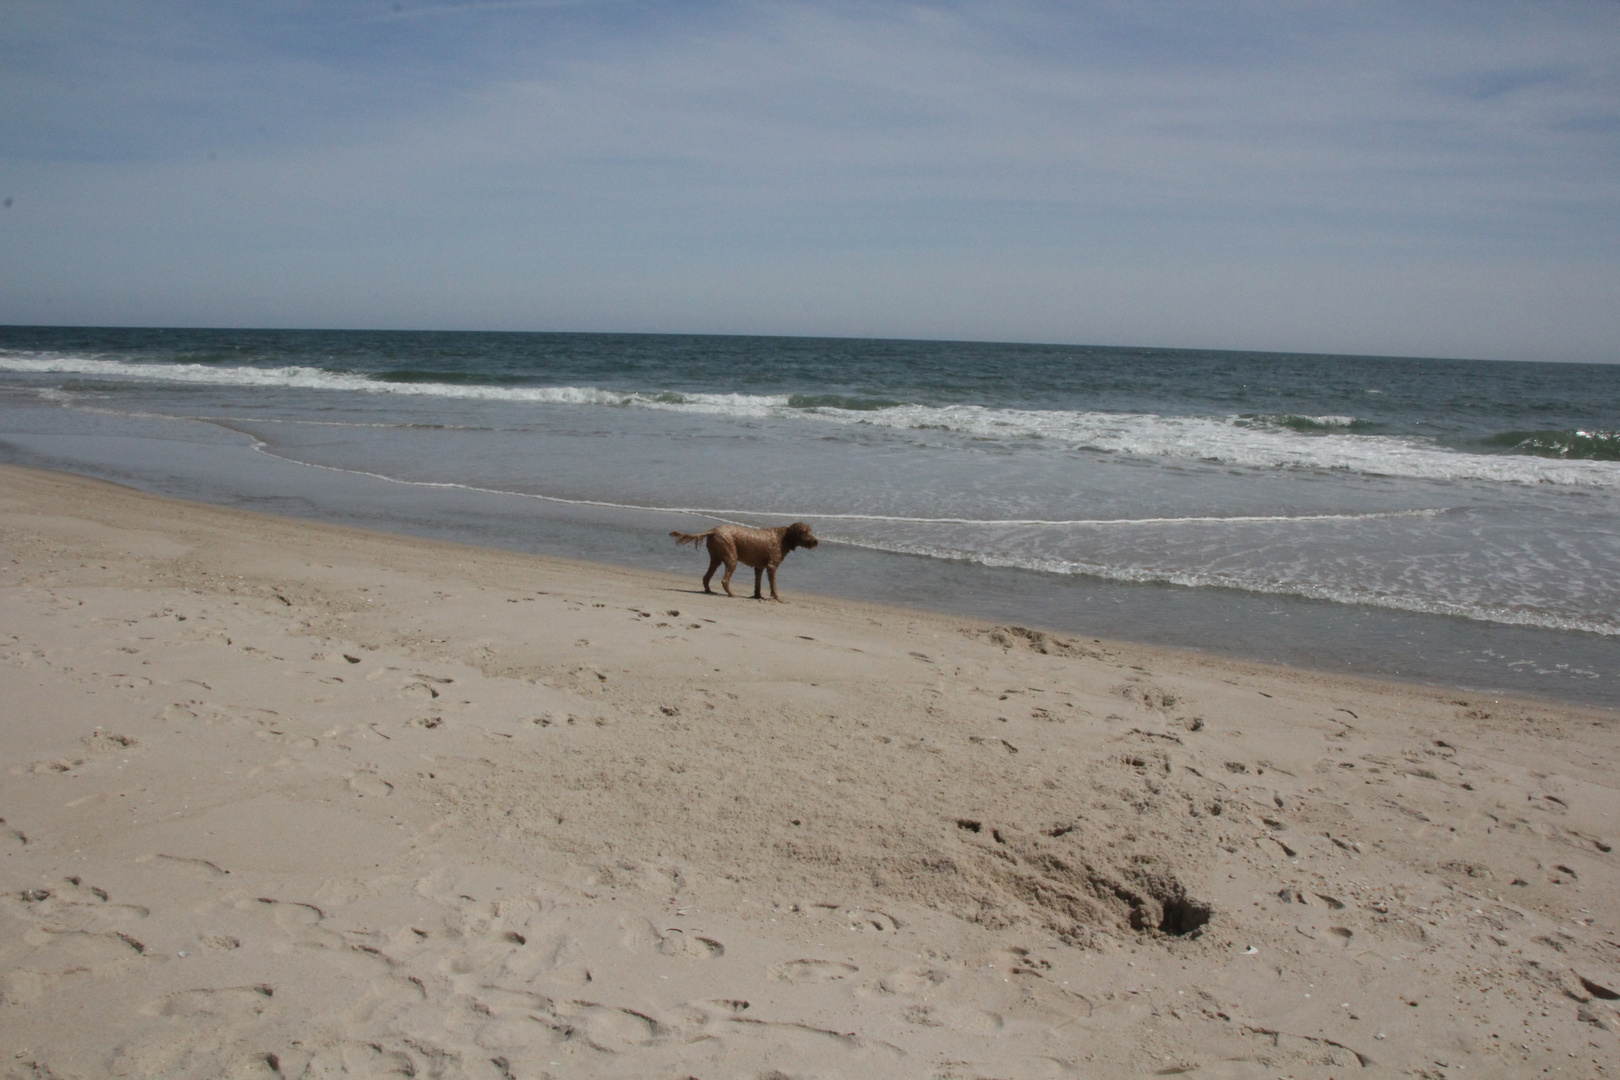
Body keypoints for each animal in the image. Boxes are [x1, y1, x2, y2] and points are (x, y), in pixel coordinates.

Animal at [670, 521, 822, 605]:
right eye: (804, 531)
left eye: (810, 530)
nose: (816, 541)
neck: (783, 538)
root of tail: (713, 530)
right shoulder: (772, 567)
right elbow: (774, 587)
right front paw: (778, 599)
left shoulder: (759, 567)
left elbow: (758, 585)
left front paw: (758, 596)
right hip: (731, 558)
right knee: (724, 580)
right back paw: (731, 594)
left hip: (716, 559)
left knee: (706, 577)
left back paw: (709, 591)